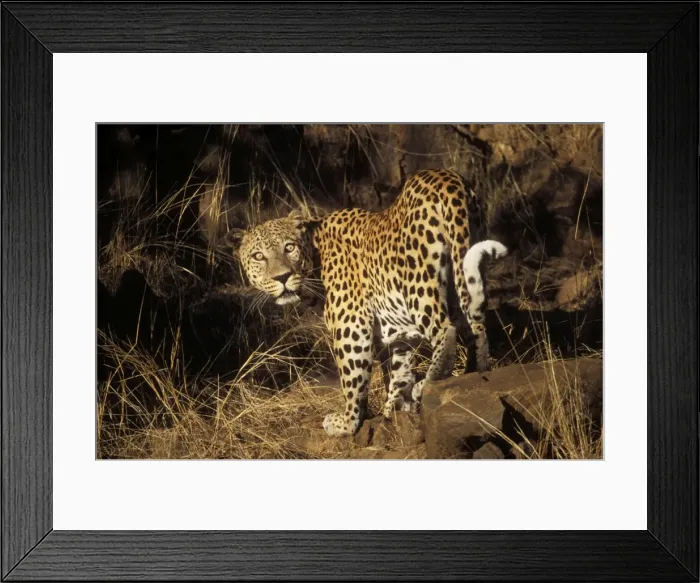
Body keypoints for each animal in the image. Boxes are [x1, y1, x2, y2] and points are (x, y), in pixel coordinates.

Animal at [225, 169, 507, 437]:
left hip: (418, 282)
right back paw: (474, 373)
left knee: (445, 331)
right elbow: (398, 370)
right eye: (258, 256)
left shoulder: (351, 326)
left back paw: (425, 386)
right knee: (476, 328)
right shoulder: (395, 333)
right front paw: (394, 406)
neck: (315, 255)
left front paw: (347, 422)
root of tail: (447, 180)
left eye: (289, 248)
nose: (282, 277)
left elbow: (353, 378)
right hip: (464, 267)